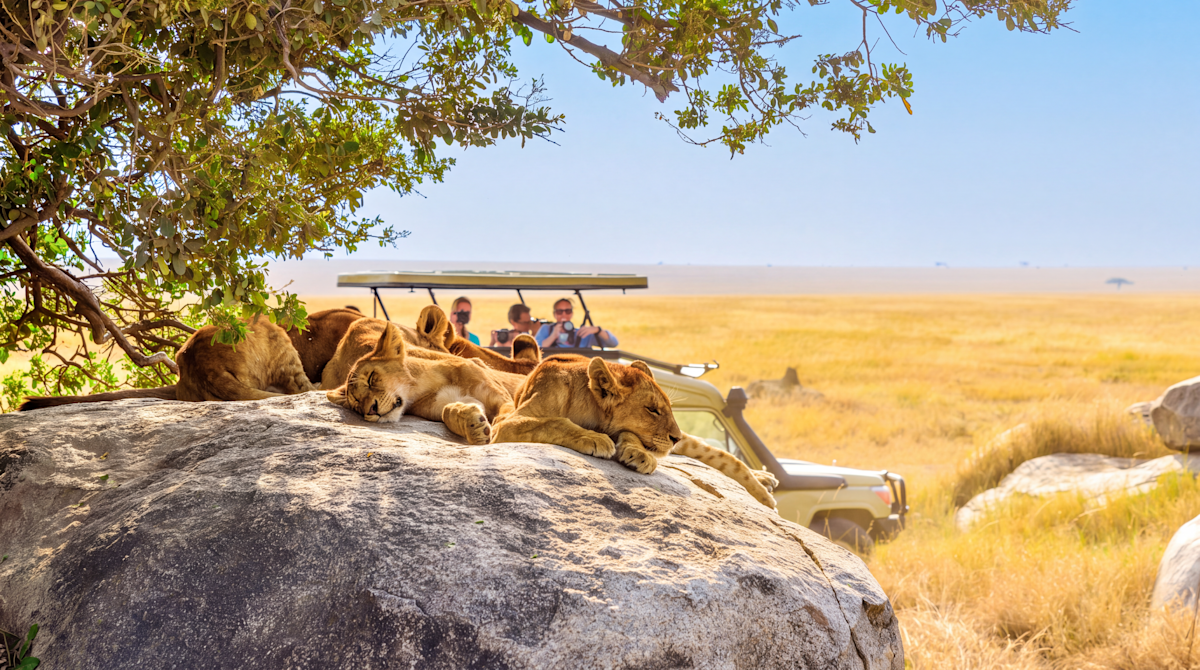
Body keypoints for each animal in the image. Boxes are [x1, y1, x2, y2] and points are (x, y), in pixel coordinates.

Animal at [326, 321, 514, 445]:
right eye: (357, 404)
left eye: (371, 378)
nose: (370, 410)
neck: (427, 385)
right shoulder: (444, 404)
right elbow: (448, 411)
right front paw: (473, 425)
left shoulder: (499, 396)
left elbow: (506, 412)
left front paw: (501, 431)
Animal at [489, 355, 778, 508]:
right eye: (652, 410)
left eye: (668, 408)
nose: (676, 438)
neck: (587, 409)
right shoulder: (503, 426)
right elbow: (555, 422)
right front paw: (594, 439)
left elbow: (631, 436)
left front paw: (638, 455)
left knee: (726, 457)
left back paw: (764, 488)